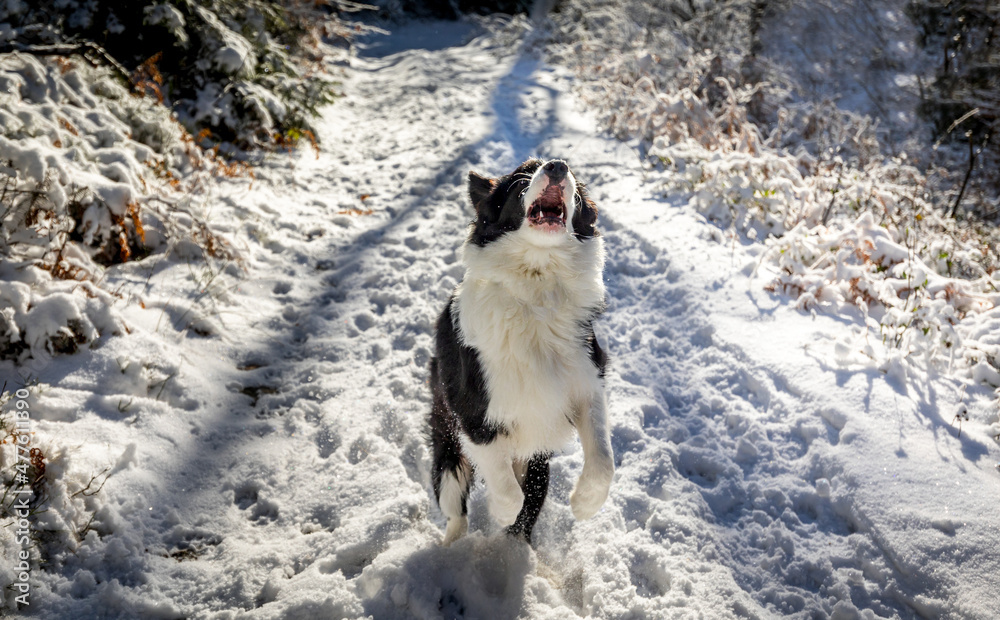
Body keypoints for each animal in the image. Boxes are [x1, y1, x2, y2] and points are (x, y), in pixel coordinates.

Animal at [428, 157, 612, 544]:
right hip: (448, 449)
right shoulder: (474, 411)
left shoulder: (587, 379)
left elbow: (603, 458)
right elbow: (505, 486)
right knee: (455, 510)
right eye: (521, 177)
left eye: (575, 179)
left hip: (536, 459)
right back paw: (452, 548)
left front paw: (585, 504)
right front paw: (500, 510)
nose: (557, 166)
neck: (537, 281)